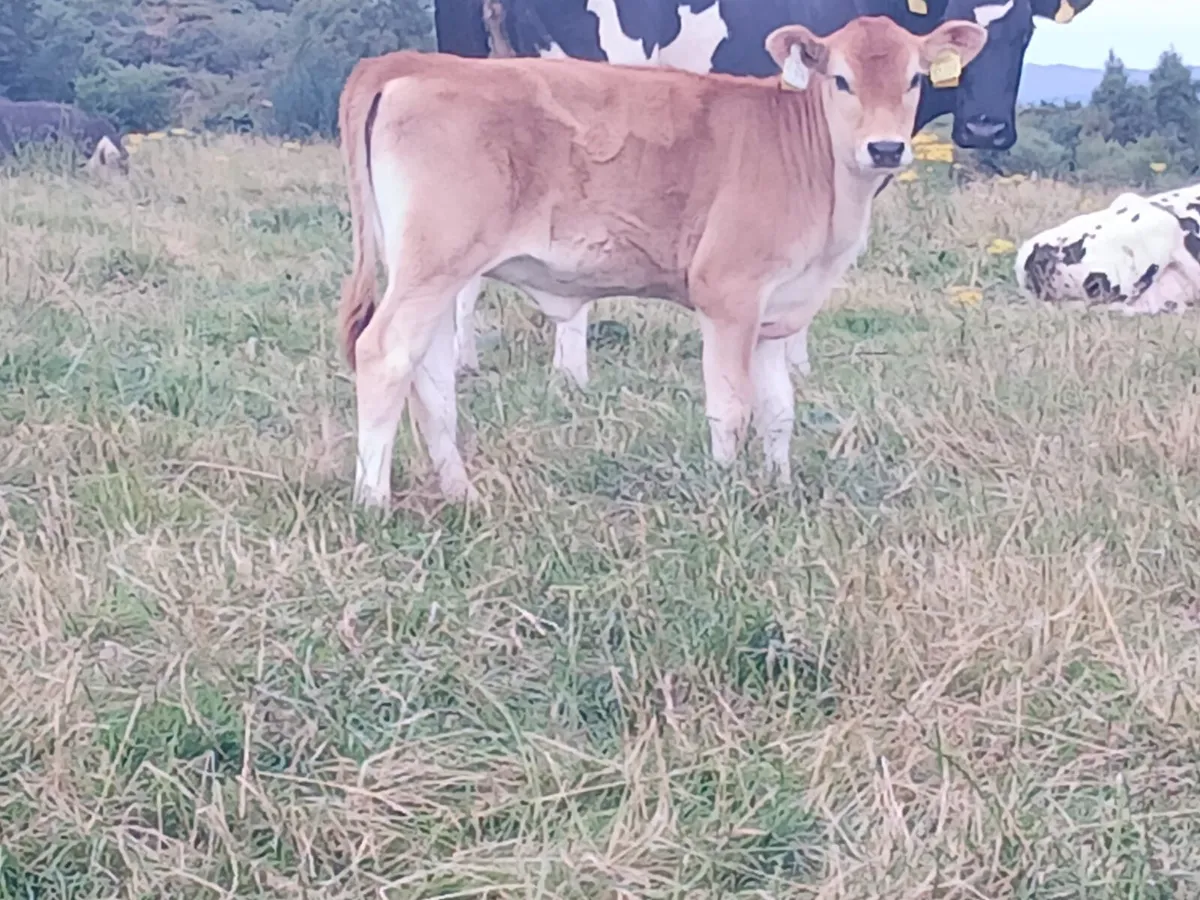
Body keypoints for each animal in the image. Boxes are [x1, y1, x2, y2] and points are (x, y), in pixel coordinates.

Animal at [336, 15, 988, 507]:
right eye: (842, 80)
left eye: (914, 78)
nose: (886, 147)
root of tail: (417, 63)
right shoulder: (728, 293)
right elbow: (731, 407)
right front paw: (727, 493)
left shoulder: (776, 312)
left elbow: (779, 411)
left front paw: (778, 491)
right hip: (434, 264)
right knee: (384, 353)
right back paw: (373, 500)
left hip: (437, 273)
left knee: (429, 373)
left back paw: (460, 491)